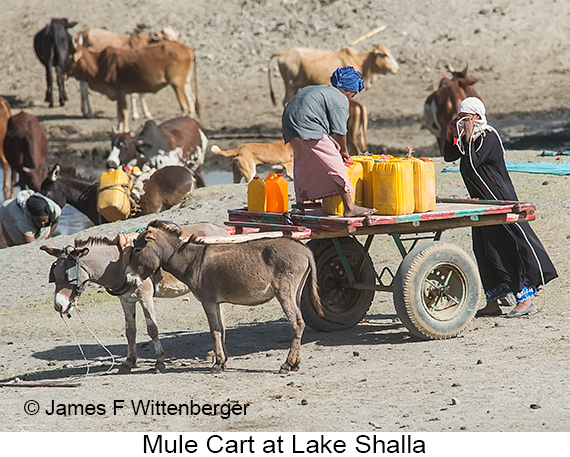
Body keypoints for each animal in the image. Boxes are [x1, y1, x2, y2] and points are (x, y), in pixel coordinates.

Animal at [63, 41, 197, 132]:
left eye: (69, 58)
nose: (62, 73)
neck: (100, 65)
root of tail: (187, 49)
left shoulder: (120, 92)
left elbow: (123, 113)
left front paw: (125, 130)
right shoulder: (119, 95)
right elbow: (120, 114)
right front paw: (119, 129)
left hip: (177, 84)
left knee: (185, 106)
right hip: (185, 83)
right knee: (191, 103)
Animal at [268, 43, 398, 106]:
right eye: (385, 55)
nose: (397, 68)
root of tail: (285, 52)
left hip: (294, 86)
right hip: (290, 85)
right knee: (285, 101)